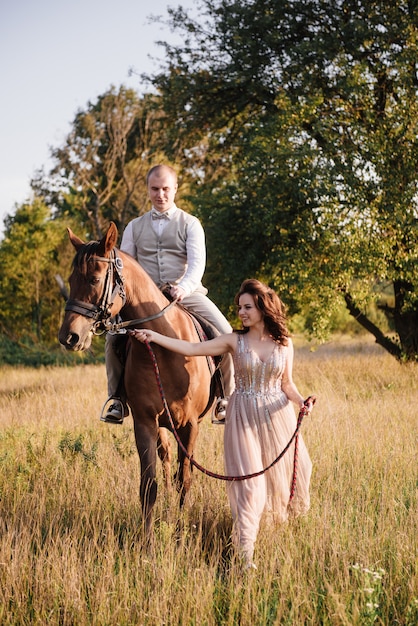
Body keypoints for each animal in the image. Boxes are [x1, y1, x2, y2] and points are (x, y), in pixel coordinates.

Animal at [58, 219, 216, 532]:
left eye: (94, 279)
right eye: (70, 279)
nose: (69, 337)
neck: (163, 345)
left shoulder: (190, 425)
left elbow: (185, 479)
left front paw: (180, 532)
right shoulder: (145, 422)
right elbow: (149, 485)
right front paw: (147, 538)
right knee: (165, 460)